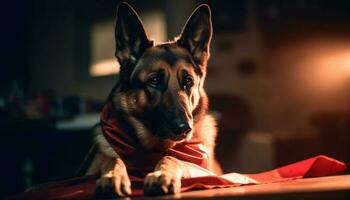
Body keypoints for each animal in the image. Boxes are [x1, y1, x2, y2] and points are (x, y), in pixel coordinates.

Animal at [86, 1, 220, 197]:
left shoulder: (203, 169)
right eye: (154, 81)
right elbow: (113, 159)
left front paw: (161, 175)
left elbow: (171, 157)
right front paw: (112, 176)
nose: (184, 128)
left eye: (188, 82)